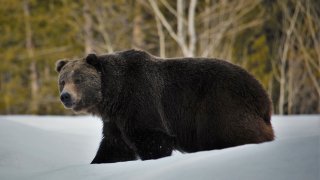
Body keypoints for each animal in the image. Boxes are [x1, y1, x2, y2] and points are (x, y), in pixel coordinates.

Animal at [56, 48, 274, 163]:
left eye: (78, 79)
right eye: (62, 80)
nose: (65, 96)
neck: (114, 96)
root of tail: (263, 96)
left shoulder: (140, 101)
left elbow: (154, 139)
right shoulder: (115, 120)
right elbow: (114, 146)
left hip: (221, 105)